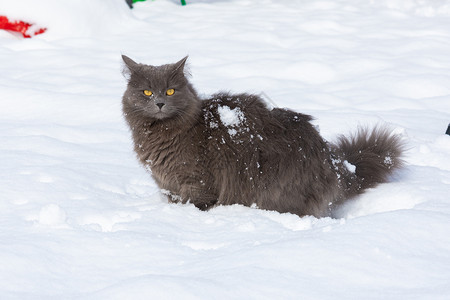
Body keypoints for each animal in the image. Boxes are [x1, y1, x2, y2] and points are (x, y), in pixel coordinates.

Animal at [120, 55, 404, 217]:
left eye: (170, 91)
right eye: (146, 92)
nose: (159, 103)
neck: (160, 134)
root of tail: (332, 162)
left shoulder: (197, 181)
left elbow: (196, 203)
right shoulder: (168, 186)